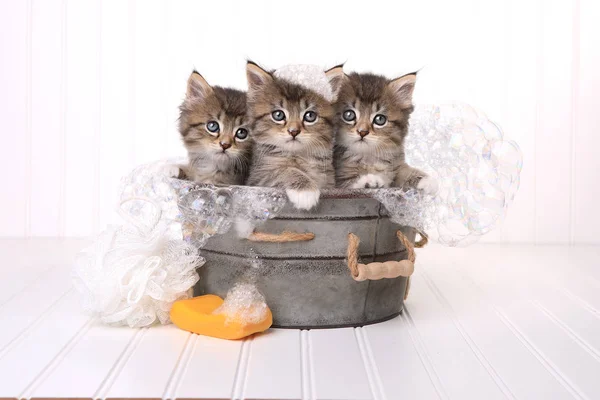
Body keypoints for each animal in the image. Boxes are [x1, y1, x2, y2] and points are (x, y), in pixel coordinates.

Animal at [246, 61, 344, 211]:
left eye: (310, 116)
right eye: (278, 115)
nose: (293, 131)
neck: (298, 157)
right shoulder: (257, 177)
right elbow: (284, 170)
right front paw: (305, 191)